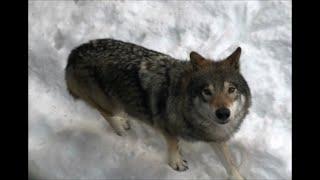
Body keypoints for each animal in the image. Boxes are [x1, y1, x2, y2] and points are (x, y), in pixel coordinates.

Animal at [64, 38, 250, 179]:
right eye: (207, 91)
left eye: (231, 89)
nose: (223, 113)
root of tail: (74, 53)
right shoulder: (166, 127)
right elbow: (173, 145)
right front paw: (176, 163)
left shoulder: (215, 137)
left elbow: (230, 163)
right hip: (110, 105)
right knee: (106, 114)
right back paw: (120, 128)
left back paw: (125, 119)